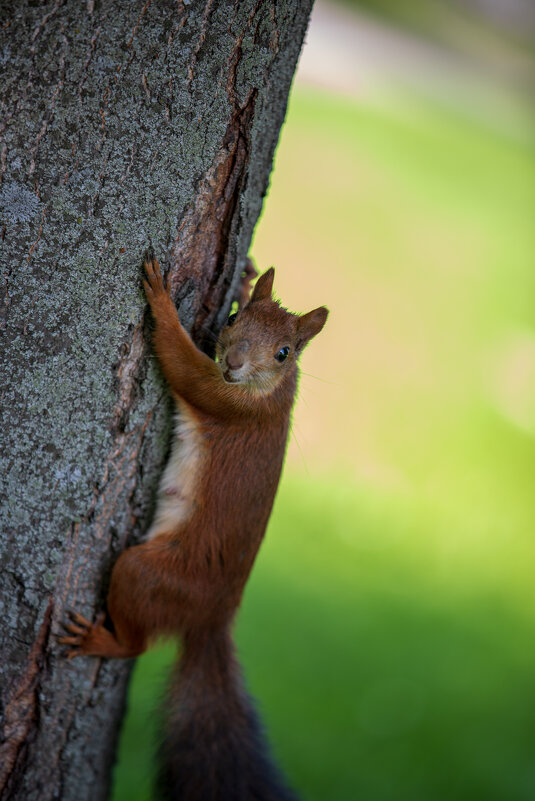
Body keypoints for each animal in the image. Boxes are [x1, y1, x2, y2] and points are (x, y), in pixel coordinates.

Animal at [58, 258, 326, 800]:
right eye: (234, 319)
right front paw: (245, 277)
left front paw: (161, 300)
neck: (269, 389)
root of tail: (212, 619)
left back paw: (103, 641)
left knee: (137, 641)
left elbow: (180, 363)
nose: (234, 364)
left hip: (150, 574)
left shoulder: (225, 399)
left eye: (284, 353)